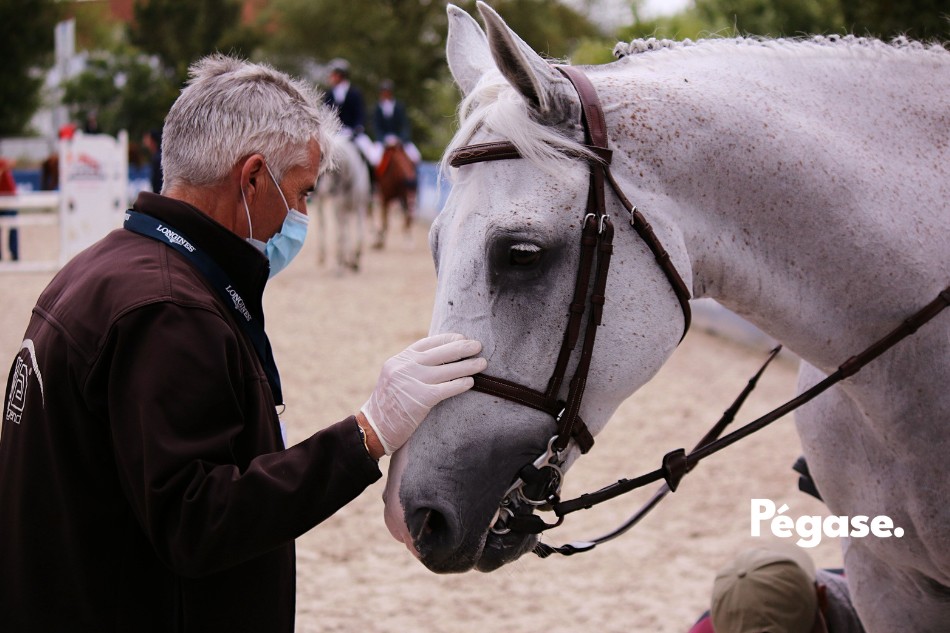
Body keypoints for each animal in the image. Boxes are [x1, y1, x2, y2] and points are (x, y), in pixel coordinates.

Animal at [313, 134, 371, 271]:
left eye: (330, 169)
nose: (317, 189)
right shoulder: (339, 209)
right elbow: (342, 235)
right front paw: (342, 261)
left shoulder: (359, 207)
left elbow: (359, 232)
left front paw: (355, 258)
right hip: (323, 204)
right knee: (323, 224)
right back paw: (325, 255)